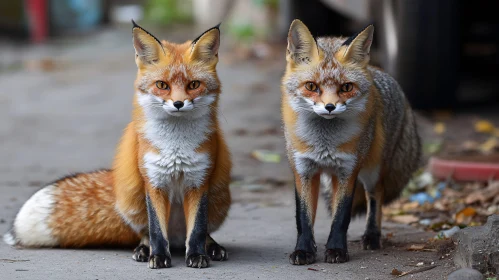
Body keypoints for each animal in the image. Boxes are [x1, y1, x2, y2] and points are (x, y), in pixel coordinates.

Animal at [3, 20, 231, 268]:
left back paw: (212, 247)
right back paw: (144, 249)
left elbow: (197, 229)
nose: (178, 104)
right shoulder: (153, 181)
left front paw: (197, 255)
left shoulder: (199, 181)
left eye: (193, 85)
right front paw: (159, 256)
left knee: (202, 232)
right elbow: (156, 230)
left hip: (219, 199)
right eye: (162, 85)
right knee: (145, 233)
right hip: (134, 200)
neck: (176, 146)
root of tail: (177, 240)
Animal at [282, 20, 422, 264]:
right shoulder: (303, 170)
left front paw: (337, 250)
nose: (330, 107)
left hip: (373, 170)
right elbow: (304, 218)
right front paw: (304, 250)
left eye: (346, 87)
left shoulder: (349, 170)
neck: (324, 143)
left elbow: (341, 217)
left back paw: (372, 236)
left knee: (376, 197)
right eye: (311, 86)